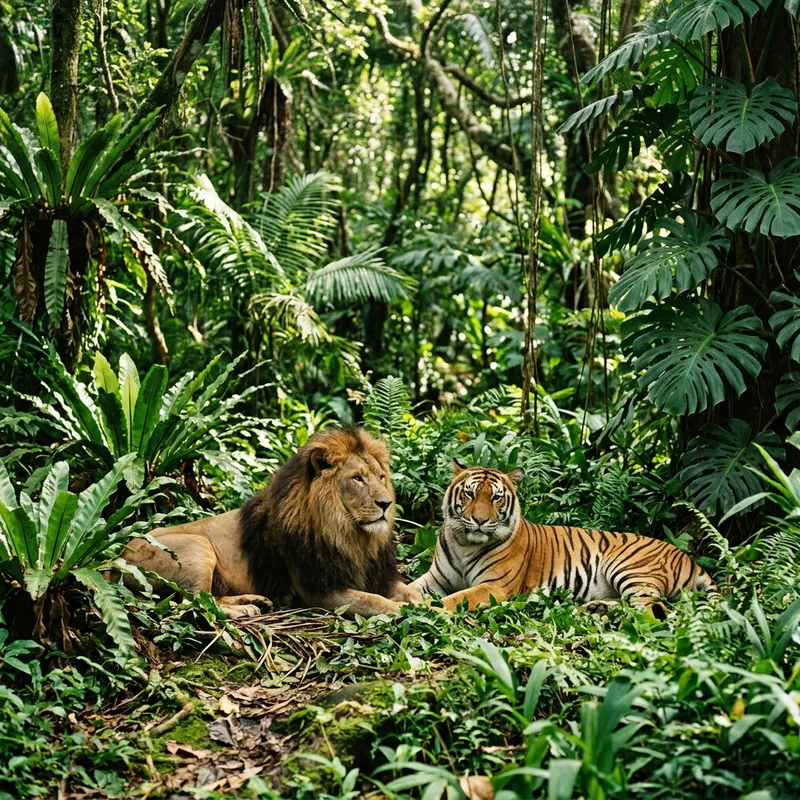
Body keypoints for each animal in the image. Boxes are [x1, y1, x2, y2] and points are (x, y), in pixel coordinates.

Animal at [123, 427, 422, 618]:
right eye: (357, 479)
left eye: (381, 477)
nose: (386, 504)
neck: (350, 535)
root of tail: (119, 555)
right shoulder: (320, 591)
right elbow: (373, 601)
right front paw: (403, 610)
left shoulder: (377, 575)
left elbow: (407, 591)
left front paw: (424, 604)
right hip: (197, 547)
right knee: (193, 603)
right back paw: (243, 609)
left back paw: (253, 600)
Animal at [410, 459, 715, 612]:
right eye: (470, 493)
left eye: (496, 497)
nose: (480, 520)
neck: (465, 544)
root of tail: (688, 558)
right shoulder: (434, 578)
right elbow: (409, 587)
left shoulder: (494, 587)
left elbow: (453, 599)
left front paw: (423, 610)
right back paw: (596, 609)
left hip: (630, 569)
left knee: (651, 611)